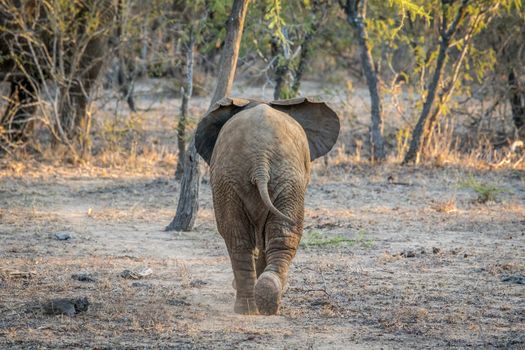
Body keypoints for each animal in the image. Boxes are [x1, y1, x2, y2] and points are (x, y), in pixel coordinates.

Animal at [194, 95, 338, 314]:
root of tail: (260, 160)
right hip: (268, 178)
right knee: (271, 235)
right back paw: (260, 303)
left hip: (242, 179)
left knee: (240, 238)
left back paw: (256, 303)